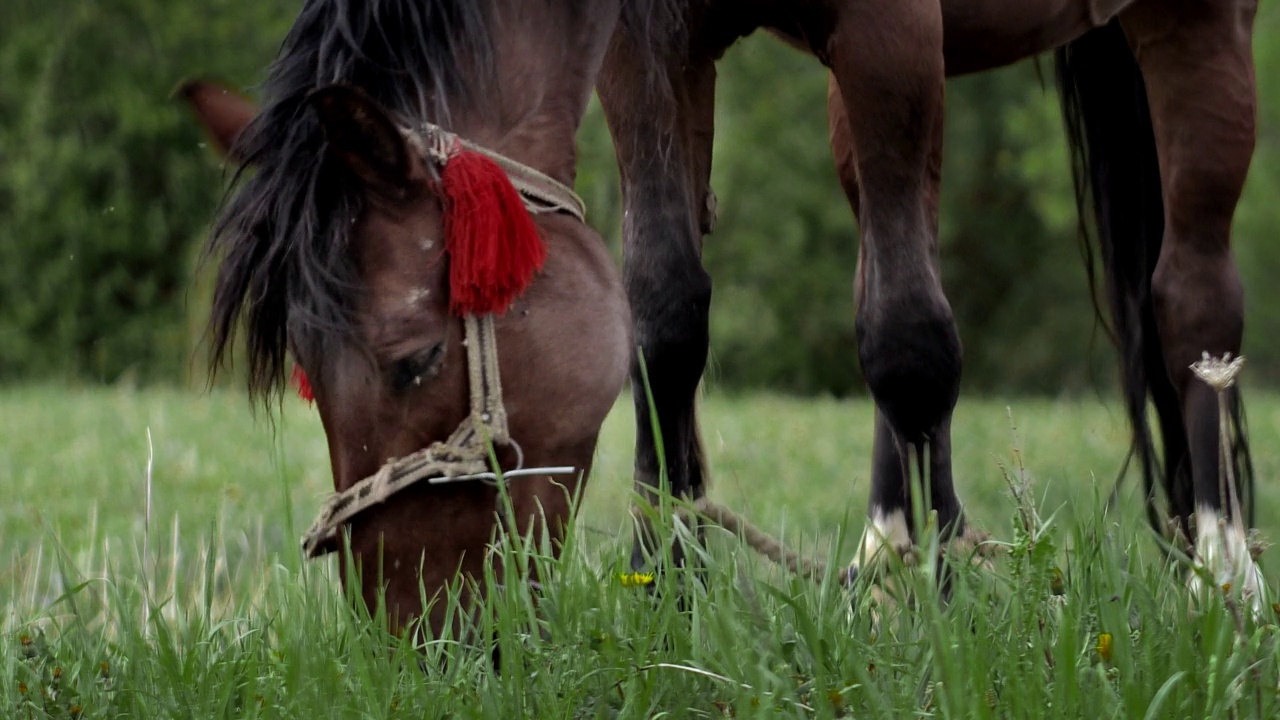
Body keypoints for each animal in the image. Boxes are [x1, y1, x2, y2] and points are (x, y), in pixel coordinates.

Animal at [596, 1, 1259, 599]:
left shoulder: (889, 28)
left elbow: (908, 341)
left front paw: (947, 613)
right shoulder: (648, 43)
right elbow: (665, 316)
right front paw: (663, 585)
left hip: (1195, 26)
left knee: (1194, 298)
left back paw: (1225, 583)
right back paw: (883, 571)